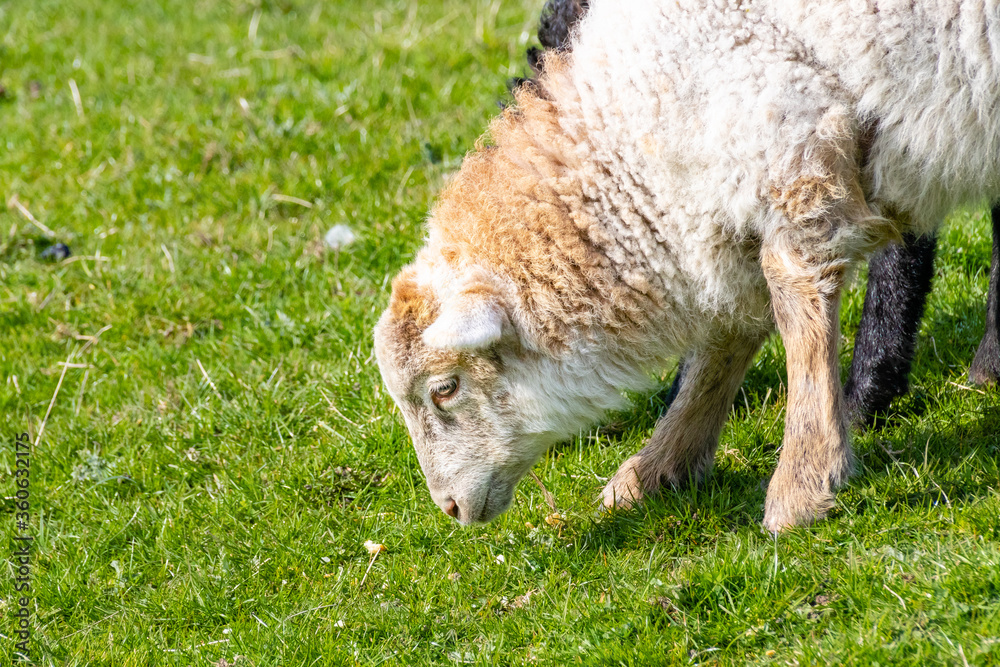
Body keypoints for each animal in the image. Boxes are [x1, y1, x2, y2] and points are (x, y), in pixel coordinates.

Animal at [375, 0, 1000, 532]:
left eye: (445, 388)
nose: (450, 508)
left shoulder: (792, 148)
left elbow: (796, 304)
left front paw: (803, 482)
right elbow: (727, 335)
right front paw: (657, 467)